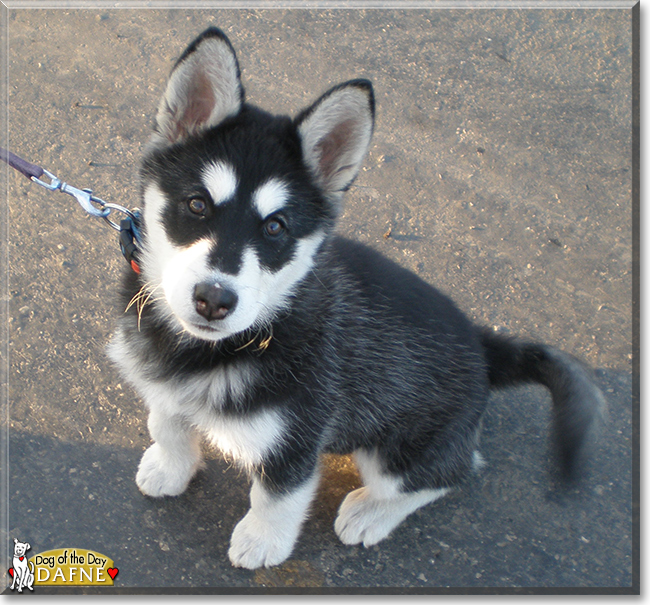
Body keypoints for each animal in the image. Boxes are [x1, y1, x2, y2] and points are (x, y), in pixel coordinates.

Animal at [107, 27, 608, 568]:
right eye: (197, 205)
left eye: (276, 227)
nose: (214, 300)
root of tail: (482, 344)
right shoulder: (165, 386)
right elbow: (167, 424)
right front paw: (169, 468)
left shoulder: (296, 438)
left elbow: (276, 496)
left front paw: (262, 542)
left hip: (397, 448)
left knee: (448, 473)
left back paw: (371, 513)